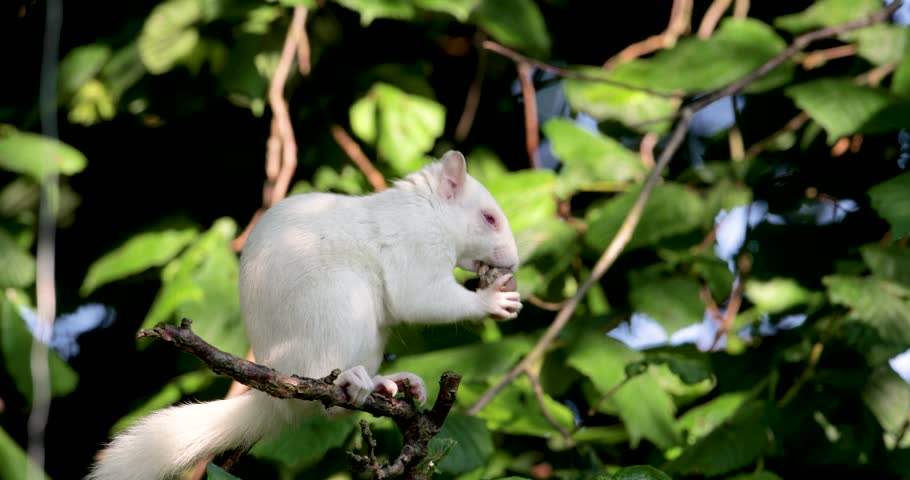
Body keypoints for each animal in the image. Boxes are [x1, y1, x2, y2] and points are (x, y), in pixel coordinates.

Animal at [86, 150, 522, 480]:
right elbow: (419, 297)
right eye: (489, 218)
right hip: (339, 312)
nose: (514, 262)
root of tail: (277, 396)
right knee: (325, 402)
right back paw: (351, 381)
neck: (428, 211)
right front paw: (492, 302)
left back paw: (390, 382)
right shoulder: (414, 247)